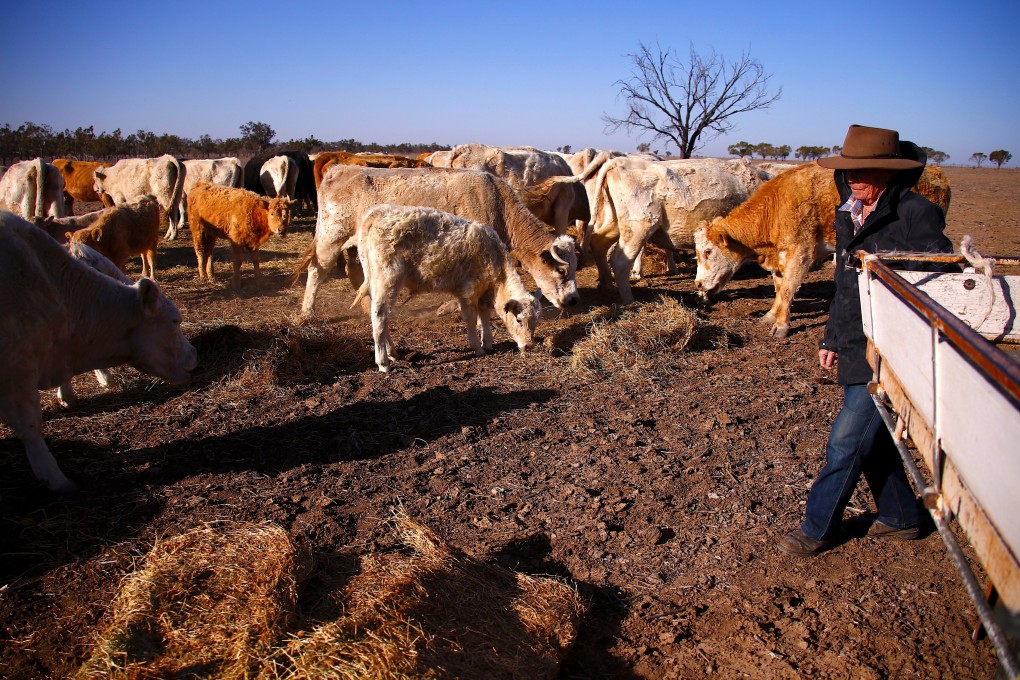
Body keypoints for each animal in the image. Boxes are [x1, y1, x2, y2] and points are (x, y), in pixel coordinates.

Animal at [298, 165, 579, 317]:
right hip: (330, 238)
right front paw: (451, 307)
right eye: (562, 271)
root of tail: (339, 170)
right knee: (316, 271)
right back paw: (307, 311)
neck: (496, 202)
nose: (573, 300)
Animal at [350, 204, 540, 373]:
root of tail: (376, 212)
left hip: (375, 280)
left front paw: (487, 343)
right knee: (380, 316)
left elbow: (484, 316)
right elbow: (471, 319)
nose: (529, 345)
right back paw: (383, 363)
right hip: (388, 278)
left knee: (381, 316)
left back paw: (392, 353)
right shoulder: (468, 291)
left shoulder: (483, 293)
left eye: (535, 322)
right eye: (519, 320)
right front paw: (477, 348)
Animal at [585, 156, 770, 302]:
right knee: (620, 261)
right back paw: (628, 299)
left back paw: (607, 286)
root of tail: (618, 161)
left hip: (614, 223)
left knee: (598, 244)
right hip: (639, 227)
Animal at [693, 163, 953, 338]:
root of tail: (936, 171)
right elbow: (779, 287)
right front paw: (770, 316)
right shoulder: (781, 256)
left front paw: (782, 325)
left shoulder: (801, 253)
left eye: (708, 251)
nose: (698, 284)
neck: (776, 206)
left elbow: (787, 289)